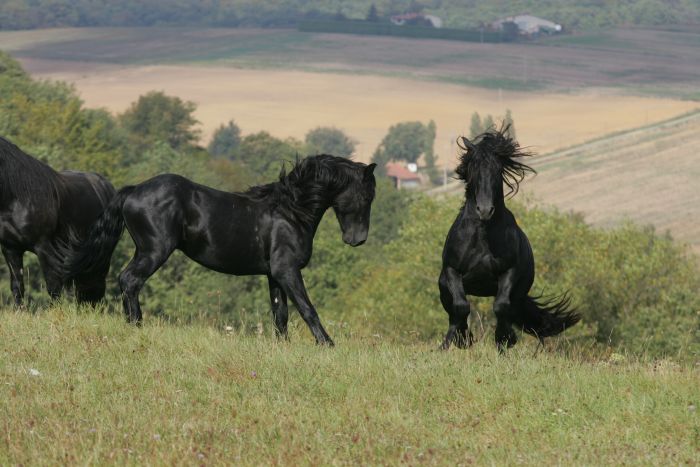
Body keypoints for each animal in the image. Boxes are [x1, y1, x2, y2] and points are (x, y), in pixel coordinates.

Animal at [0, 135, 116, 306]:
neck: (17, 198)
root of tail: (107, 187)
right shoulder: (11, 249)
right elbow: (17, 286)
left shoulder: (44, 247)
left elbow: (53, 286)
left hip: (100, 256)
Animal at [65, 155, 378, 346]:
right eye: (367, 195)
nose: (357, 239)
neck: (291, 212)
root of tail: (132, 191)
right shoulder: (287, 271)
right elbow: (307, 309)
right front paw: (327, 343)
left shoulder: (274, 275)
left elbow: (281, 315)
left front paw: (283, 346)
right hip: (154, 251)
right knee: (130, 281)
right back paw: (137, 326)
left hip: (143, 250)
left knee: (126, 281)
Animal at [438, 128, 580, 352]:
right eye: (473, 169)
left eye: (497, 170)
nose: (484, 210)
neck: (483, 234)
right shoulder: (452, 271)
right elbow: (461, 306)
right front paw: (462, 339)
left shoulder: (509, 272)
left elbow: (501, 306)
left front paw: (504, 338)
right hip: (443, 287)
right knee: (454, 312)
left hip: (519, 292)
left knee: (509, 310)